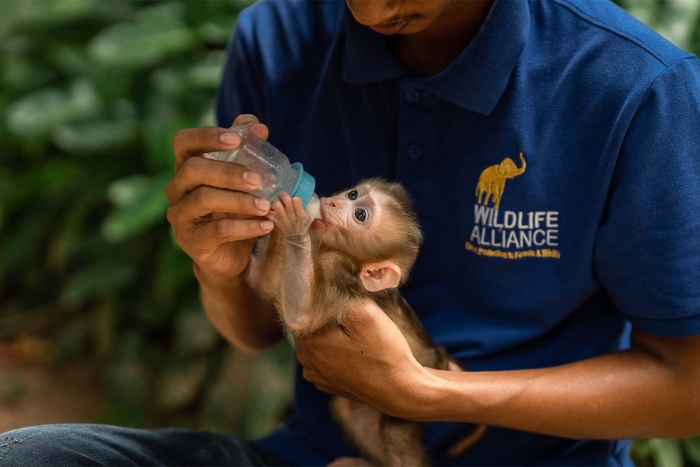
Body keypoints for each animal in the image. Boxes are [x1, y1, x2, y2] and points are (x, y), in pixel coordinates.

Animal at [246, 179, 482, 467]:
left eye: (360, 215)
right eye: (353, 194)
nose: (332, 202)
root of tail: (441, 357)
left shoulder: (338, 273)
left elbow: (300, 315)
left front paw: (293, 222)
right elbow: (266, 285)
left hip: (412, 407)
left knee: (395, 435)